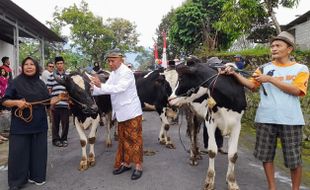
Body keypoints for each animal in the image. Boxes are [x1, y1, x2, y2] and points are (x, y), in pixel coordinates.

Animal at [168, 61, 246, 190]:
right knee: (192, 133)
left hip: (199, 116)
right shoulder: (210, 121)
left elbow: (233, 155)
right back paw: (193, 157)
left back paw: (198, 153)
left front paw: (231, 182)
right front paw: (209, 181)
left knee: (195, 132)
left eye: (181, 78)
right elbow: (212, 151)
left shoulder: (237, 124)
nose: (170, 100)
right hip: (191, 112)